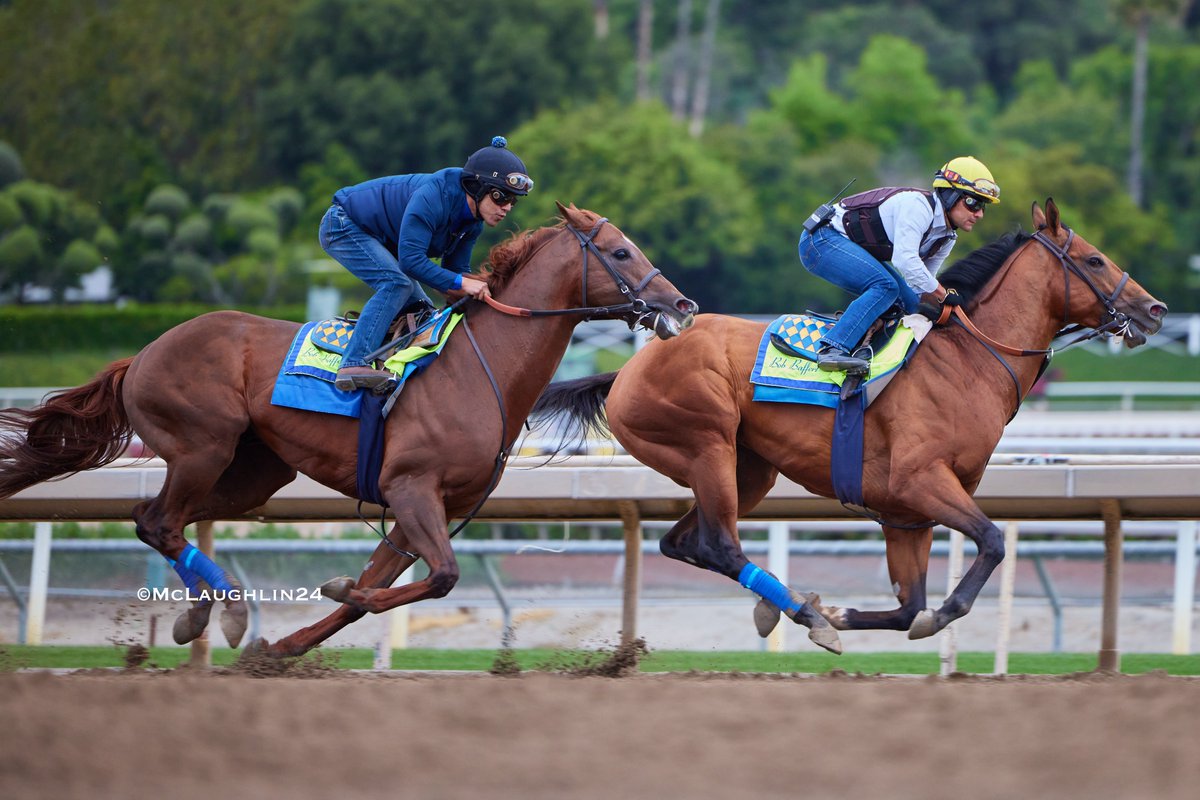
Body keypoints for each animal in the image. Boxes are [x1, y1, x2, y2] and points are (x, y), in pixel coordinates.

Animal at [0, 201, 696, 657]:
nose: (682, 305)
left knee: (154, 519)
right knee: (161, 521)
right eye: (621, 251)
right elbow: (436, 578)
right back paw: (226, 613)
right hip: (202, 446)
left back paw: (206, 616)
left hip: (255, 473)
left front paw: (285, 645)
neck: (482, 369)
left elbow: (377, 587)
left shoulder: (429, 509)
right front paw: (321, 603)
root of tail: (141, 354)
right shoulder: (412, 489)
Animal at [532, 200, 1161, 652]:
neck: (971, 359)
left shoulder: (906, 513)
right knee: (719, 543)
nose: (1154, 309)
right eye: (1096, 260)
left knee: (683, 542)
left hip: (747, 469)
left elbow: (908, 606)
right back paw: (801, 611)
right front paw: (927, 616)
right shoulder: (920, 481)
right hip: (705, 445)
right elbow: (991, 542)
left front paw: (846, 612)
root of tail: (629, 368)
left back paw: (797, 609)